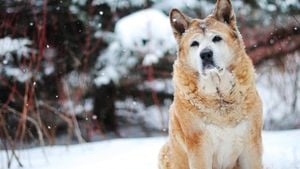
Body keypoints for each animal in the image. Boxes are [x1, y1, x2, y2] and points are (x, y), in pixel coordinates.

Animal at [159, 0, 262, 169]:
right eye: (194, 43)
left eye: (216, 38)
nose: (206, 54)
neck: (219, 97)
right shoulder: (199, 147)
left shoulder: (251, 143)